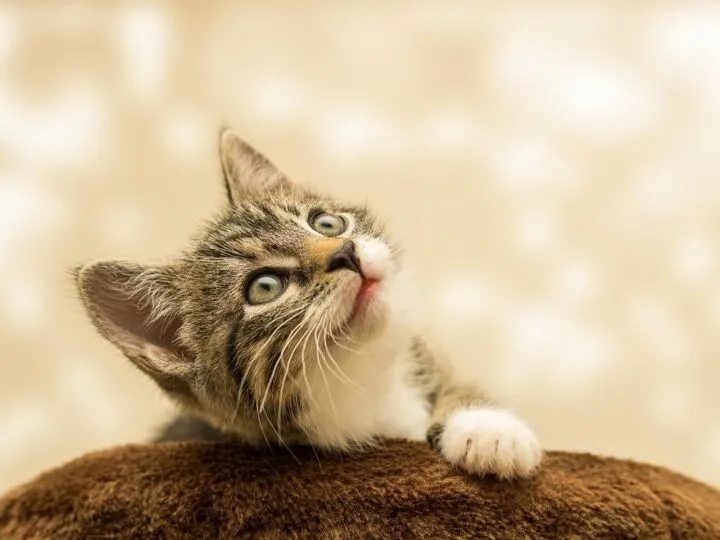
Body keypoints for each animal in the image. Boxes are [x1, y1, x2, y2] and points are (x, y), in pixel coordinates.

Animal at [76, 129, 544, 478]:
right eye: (264, 287)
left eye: (326, 223)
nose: (346, 253)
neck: (368, 380)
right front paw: (489, 436)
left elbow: (457, 380)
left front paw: (489, 429)